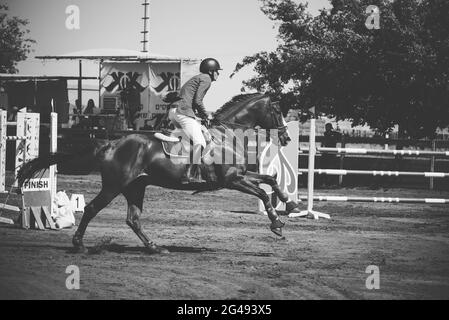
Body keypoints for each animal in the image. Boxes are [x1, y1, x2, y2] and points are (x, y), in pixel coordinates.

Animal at [16, 92, 300, 252]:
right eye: (277, 111)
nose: (286, 137)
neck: (228, 135)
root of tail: (110, 143)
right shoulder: (232, 180)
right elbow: (262, 194)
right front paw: (277, 224)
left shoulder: (239, 177)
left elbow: (270, 180)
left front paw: (291, 204)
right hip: (114, 186)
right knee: (91, 208)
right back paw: (79, 245)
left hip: (135, 187)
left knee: (133, 219)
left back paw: (154, 247)